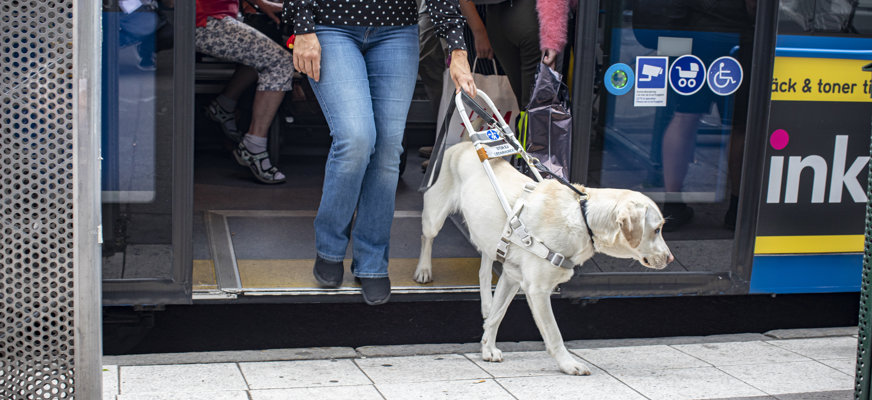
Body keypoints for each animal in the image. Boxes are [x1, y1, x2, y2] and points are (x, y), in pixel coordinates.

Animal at [416, 141, 676, 376]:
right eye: (656, 229)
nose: (671, 258)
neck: (582, 218)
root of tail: (462, 143)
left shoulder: (511, 278)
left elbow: (498, 316)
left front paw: (488, 347)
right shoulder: (538, 290)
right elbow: (553, 333)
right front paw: (568, 364)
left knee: (484, 268)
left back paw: (486, 303)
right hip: (434, 216)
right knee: (426, 238)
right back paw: (423, 270)